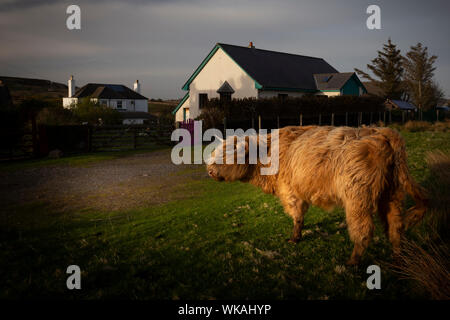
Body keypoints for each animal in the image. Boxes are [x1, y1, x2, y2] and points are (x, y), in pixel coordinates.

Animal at [206, 125, 428, 264]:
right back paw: (398, 258)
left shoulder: (291, 192)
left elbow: (297, 216)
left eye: (227, 154)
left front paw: (294, 238)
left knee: (363, 230)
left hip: (358, 198)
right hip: (393, 194)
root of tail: (382, 131)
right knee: (395, 227)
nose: (209, 170)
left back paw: (353, 261)